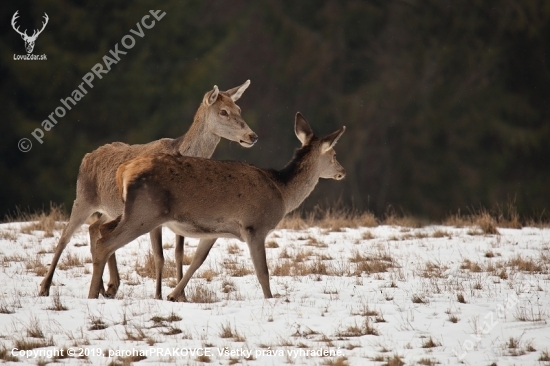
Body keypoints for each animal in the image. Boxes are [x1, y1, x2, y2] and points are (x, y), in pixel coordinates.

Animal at [39, 79, 258, 298]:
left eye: (238, 109)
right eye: (223, 112)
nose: (252, 135)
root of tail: (86, 157)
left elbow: (179, 254)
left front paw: (181, 296)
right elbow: (159, 256)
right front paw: (159, 295)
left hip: (113, 210)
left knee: (96, 228)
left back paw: (107, 286)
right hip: (83, 197)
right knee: (65, 236)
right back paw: (45, 287)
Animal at [88, 113, 348, 300]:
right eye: (334, 154)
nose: (342, 172)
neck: (282, 191)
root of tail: (124, 170)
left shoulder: (214, 230)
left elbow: (196, 261)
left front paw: (173, 295)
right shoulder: (255, 226)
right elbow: (262, 272)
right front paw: (270, 299)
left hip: (130, 211)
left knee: (101, 229)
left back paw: (105, 289)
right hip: (145, 212)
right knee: (105, 243)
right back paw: (93, 294)